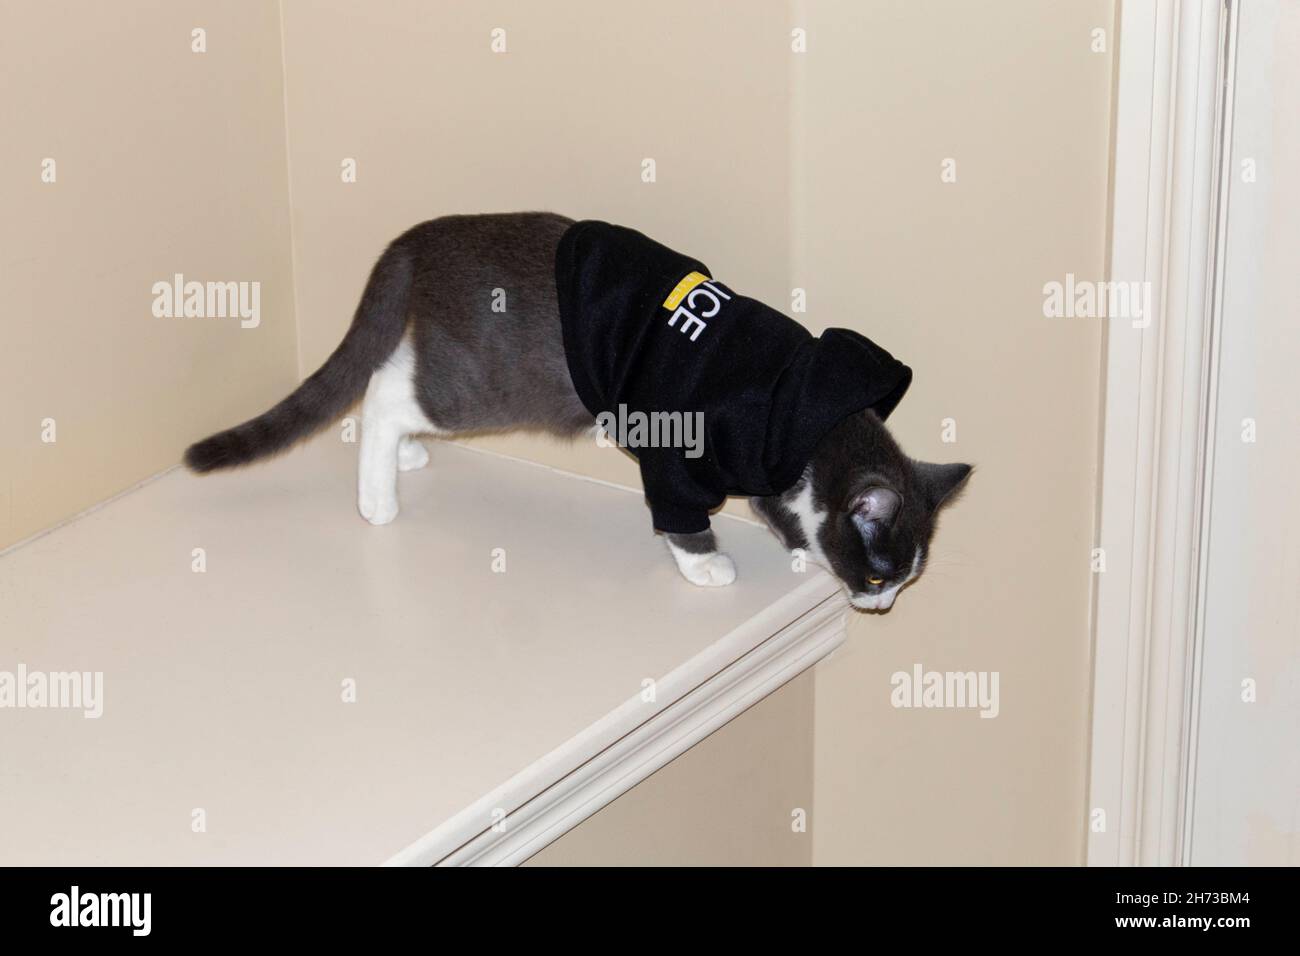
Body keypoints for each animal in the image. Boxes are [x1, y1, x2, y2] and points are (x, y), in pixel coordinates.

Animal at [188, 210, 972, 613]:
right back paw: (378, 497)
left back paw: (404, 459)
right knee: (386, 397)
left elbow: (780, 506)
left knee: (393, 374)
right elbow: (683, 516)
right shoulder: (680, 448)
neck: (809, 416)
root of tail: (420, 238)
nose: (881, 607)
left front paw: (797, 541)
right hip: (490, 377)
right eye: (881, 577)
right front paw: (706, 566)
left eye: (902, 582)